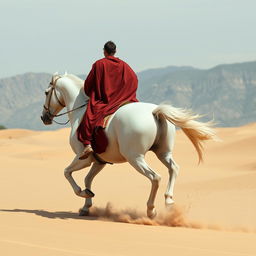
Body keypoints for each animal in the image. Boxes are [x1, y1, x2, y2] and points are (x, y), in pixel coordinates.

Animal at [40, 72, 216, 218]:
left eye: (46, 92)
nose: (44, 117)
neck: (80, 113)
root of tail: (154, 112)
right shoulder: (99, 161)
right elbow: (87, 179)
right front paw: (86, 204)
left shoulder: (84, 158)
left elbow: (67, 173)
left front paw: (83, 194)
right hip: (163, 153)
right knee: (173, 168)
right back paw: (169, 201)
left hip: (135, 158)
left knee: (155, 177)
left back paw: (151, 210)